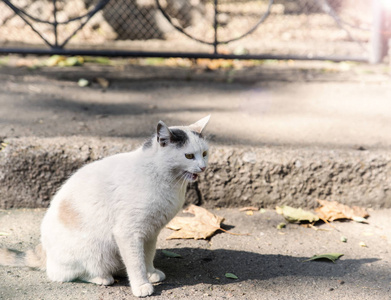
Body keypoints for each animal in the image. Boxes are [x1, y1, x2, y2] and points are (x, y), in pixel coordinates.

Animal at [0, 116, 211, 296]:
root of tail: (43, 250)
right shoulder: (128, 232)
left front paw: (150, 273)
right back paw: (102, 277)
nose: (203, 167)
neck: (164, 178)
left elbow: (147, 255)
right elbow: (136, 263)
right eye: (189, 156)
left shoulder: (151, 231)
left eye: (204, 154)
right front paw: (141, 285)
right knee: (62, 274)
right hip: (93, 252)